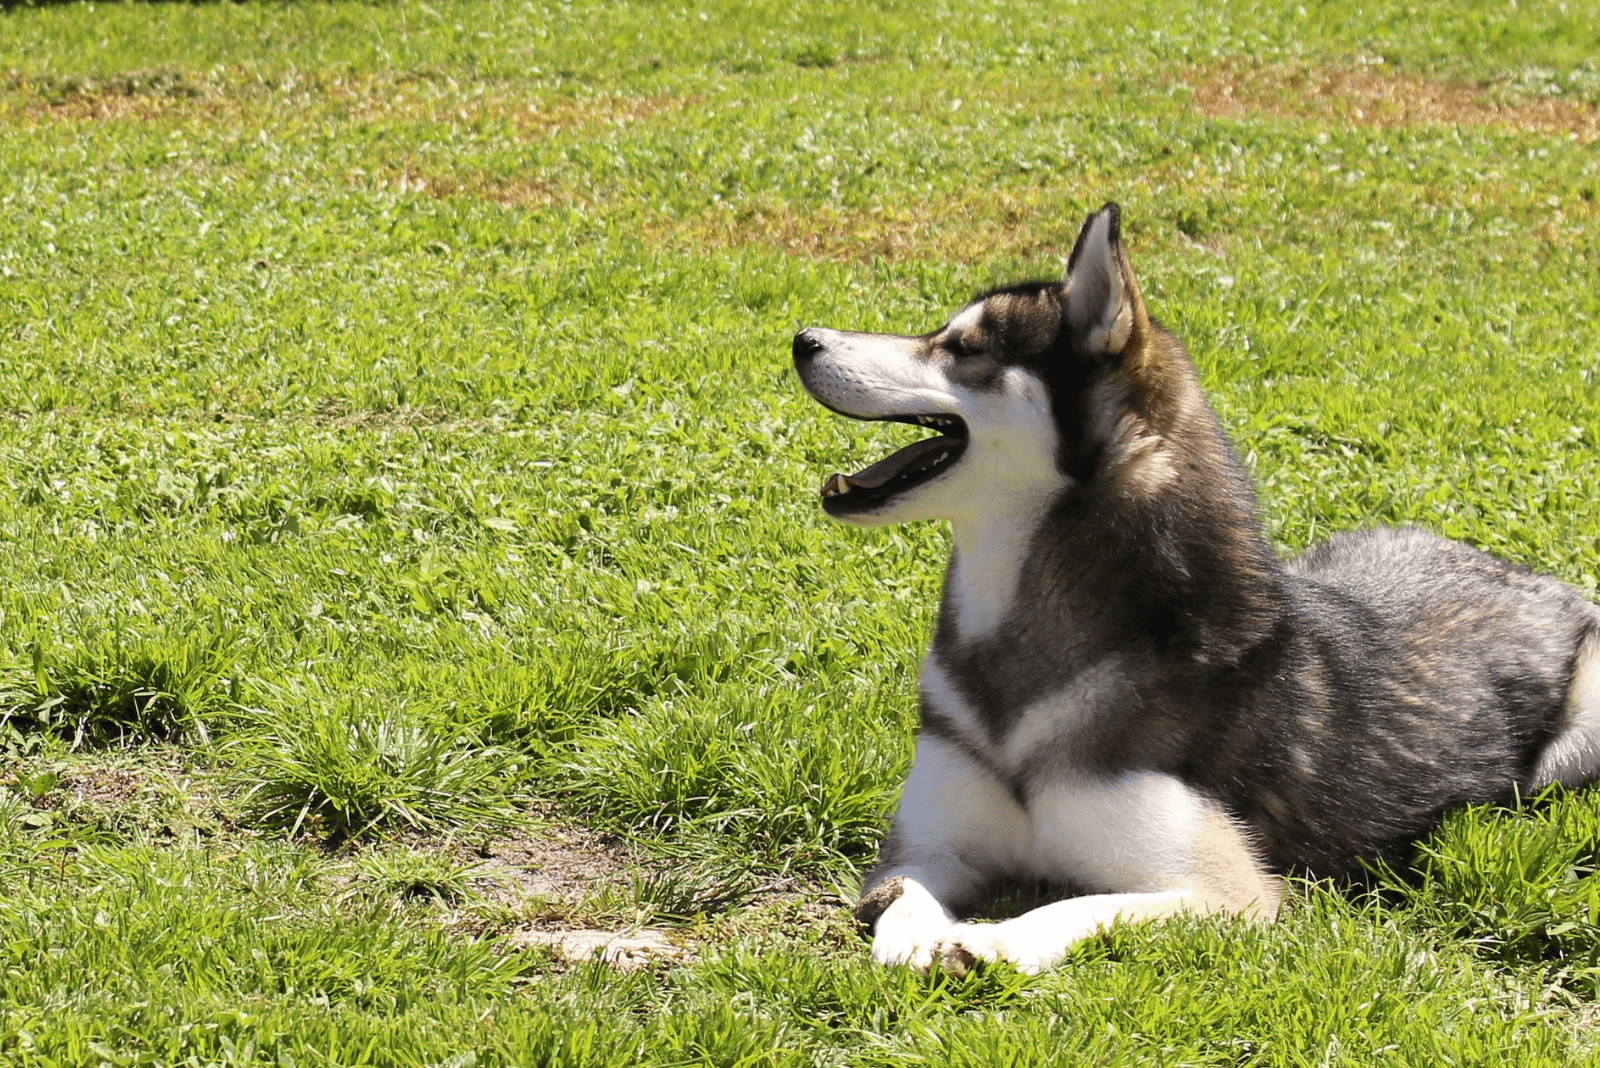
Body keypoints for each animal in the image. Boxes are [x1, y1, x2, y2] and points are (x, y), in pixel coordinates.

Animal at [793, 202, 1600, 978]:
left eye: (965, 349)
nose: (802, 338)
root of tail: (1533, 576)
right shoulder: (927, 848)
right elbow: (904, 895)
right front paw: (913, 933)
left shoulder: (1227, 892)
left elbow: (1079, 905)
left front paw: (993, 941)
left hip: (1573, 749)